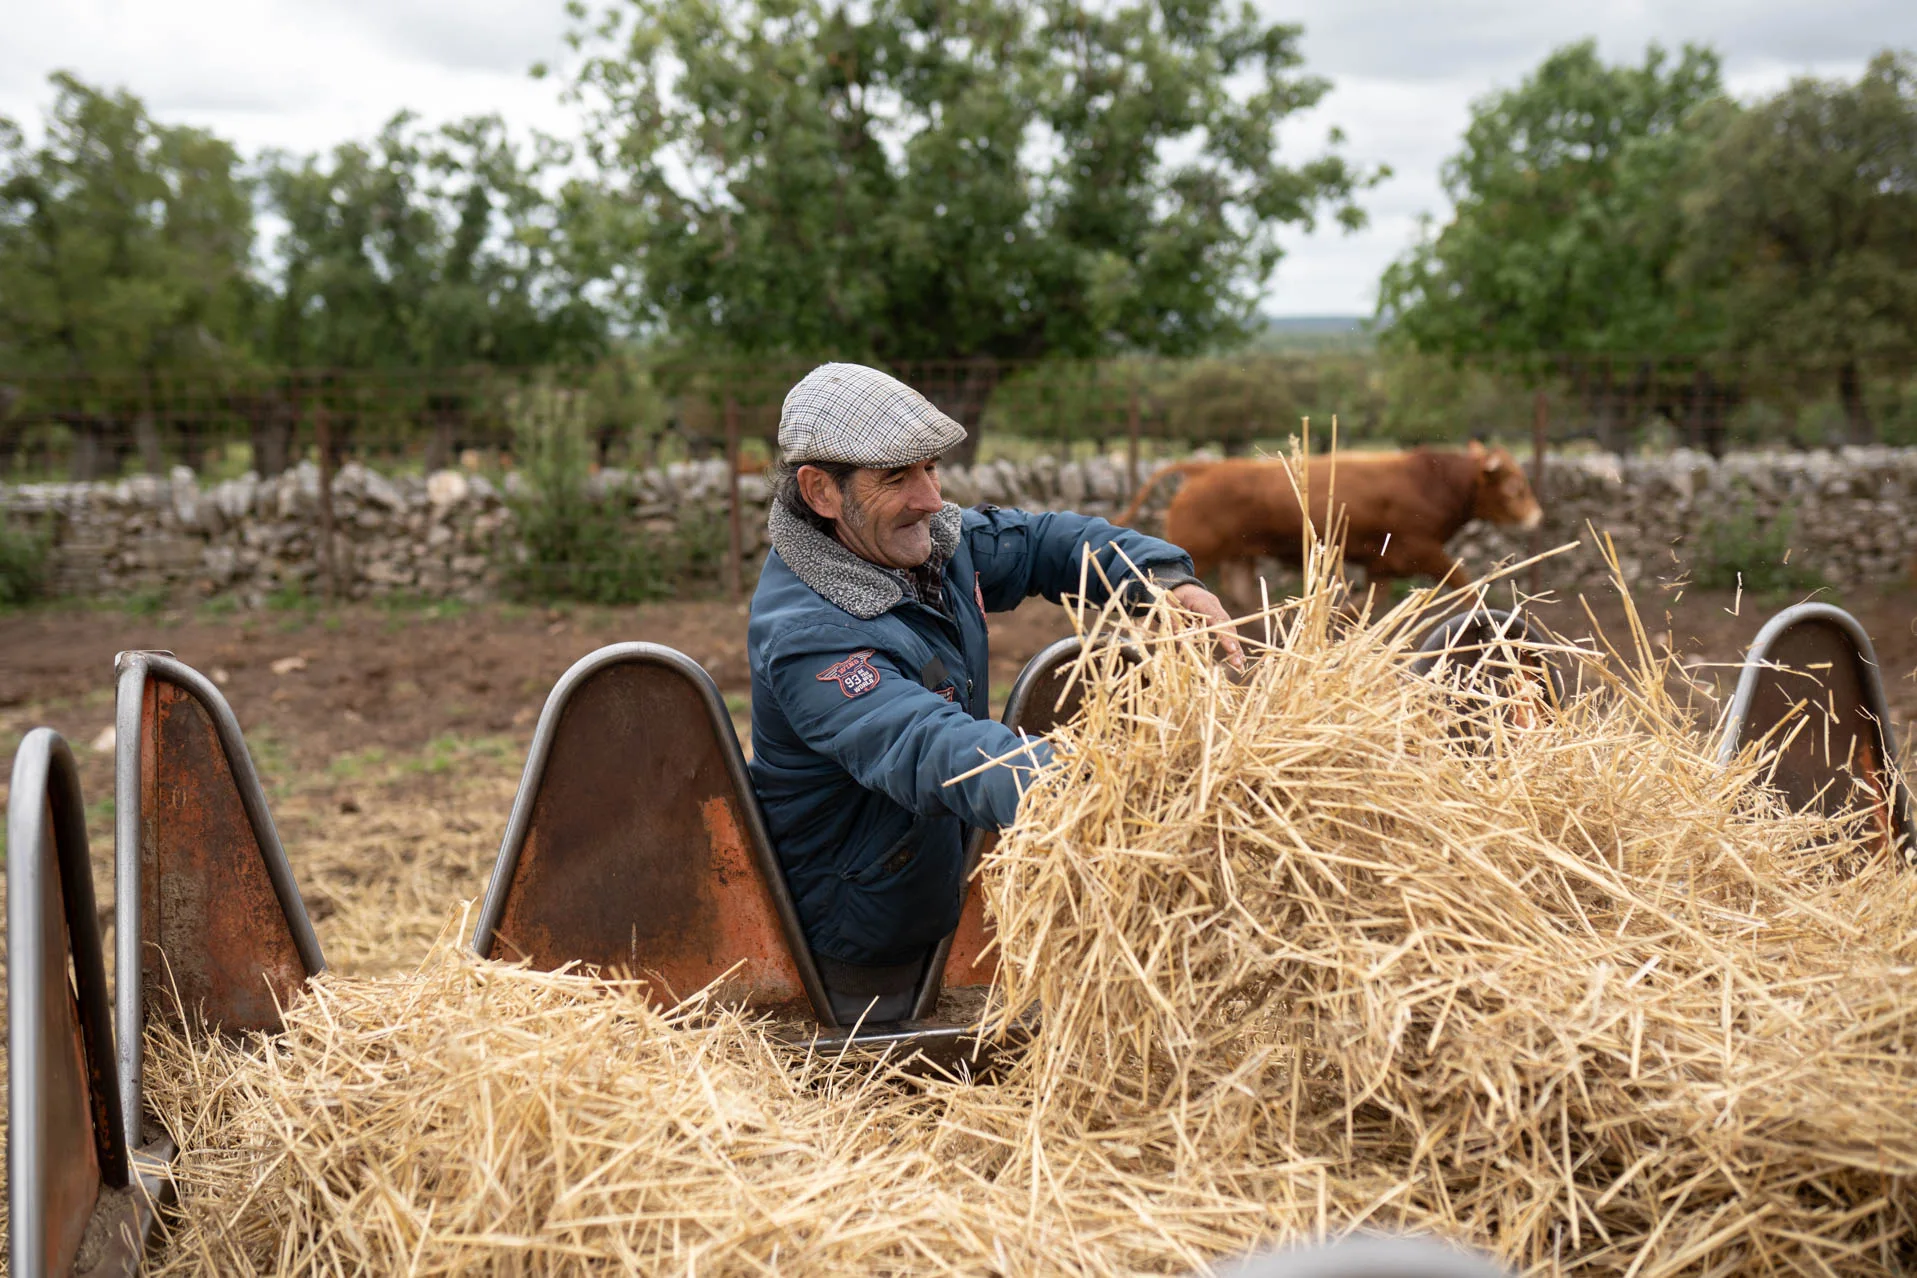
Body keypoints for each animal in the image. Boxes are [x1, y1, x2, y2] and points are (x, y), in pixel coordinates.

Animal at [1119, 444, 1541, 593]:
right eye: (1516, 486)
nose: (1537, 516)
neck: (1429, 482)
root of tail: (1204, 469)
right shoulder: (1422, 549)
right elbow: (1464, 581)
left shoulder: (1379, 566)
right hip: (1201, 551)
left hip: (1238, 558)